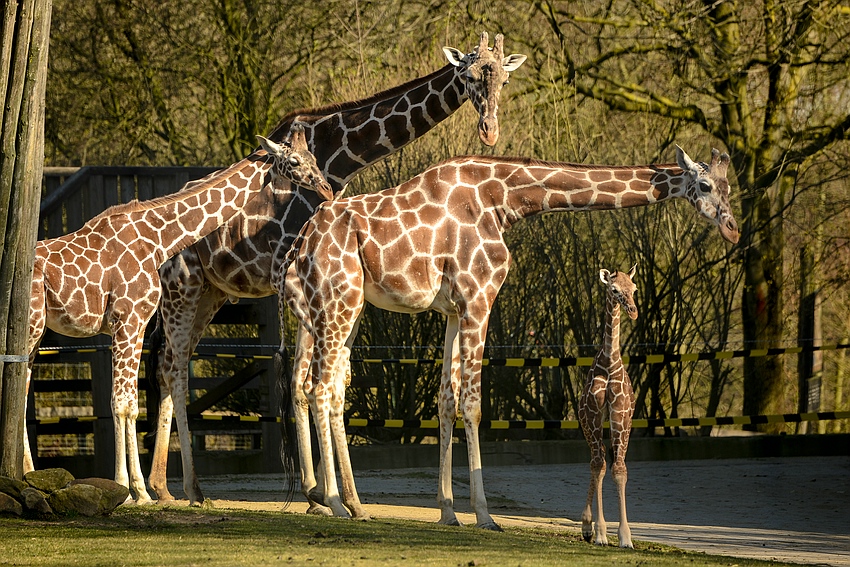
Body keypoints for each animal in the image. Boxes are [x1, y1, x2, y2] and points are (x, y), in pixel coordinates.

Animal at [23, 126, 328, 504]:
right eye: (295, 161)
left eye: (314, 156)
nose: (325, 187)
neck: (158, 239)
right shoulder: (128, 319)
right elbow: (123, 403)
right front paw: (130, 490)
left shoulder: (133, 323)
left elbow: (130, 403)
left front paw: (137, 490)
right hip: (32, 326)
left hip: (37, 331)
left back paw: (27, 474)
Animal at [149, 32, 528, 506]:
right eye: (470, 76)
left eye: (505, 80)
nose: (489, 131)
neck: (338, 158)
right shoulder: (291, 276)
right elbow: (307, 381)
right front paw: (324, 493)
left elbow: (311, 380)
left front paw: (316, 491)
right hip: (182, 288)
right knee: (172, 366)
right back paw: (182, 487)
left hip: (209, 294)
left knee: (172, 362)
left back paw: (165, 486)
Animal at [278, 149, 736, 532]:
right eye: (706, 185)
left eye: (730, 187)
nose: (732, 229)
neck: (503, 200)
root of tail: (300, 244)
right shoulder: (478, 296)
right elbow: (473, 405)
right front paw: (484, 515)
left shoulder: (452, 309)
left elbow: (446, 401)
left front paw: (448, 512)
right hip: (336, 303)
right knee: (317, 388)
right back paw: (332, 502)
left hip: (347, 307)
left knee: (330, 390)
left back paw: (355, 504)